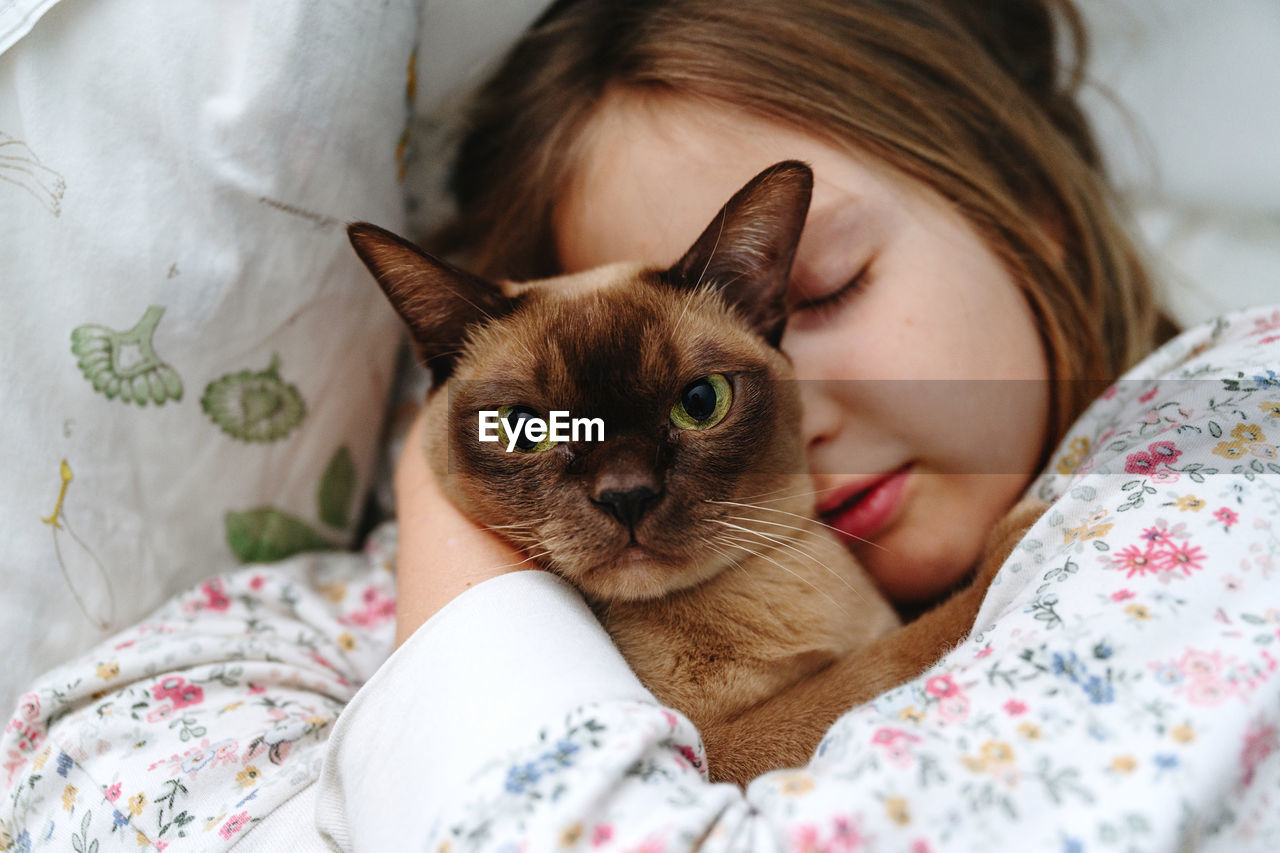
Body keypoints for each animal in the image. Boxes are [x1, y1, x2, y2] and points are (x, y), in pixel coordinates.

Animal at [348, 159, 1039, 783]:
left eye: (701, 402)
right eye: (527, 428)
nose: (626, 496)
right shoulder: (711, 751)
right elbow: (888, 660)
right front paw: (1021, 533)